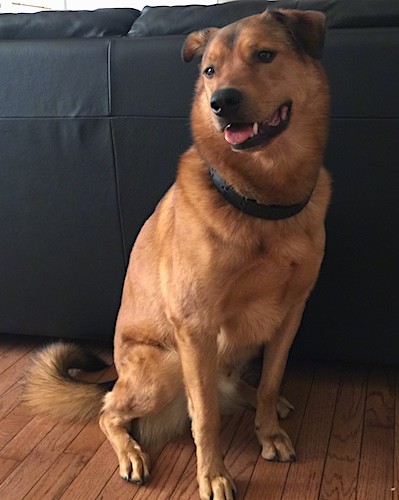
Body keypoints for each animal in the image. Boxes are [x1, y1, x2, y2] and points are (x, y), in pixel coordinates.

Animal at [23, 8, 332, 500]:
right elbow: (204, 416)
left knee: (236, 385)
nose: (221, 102)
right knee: (110, 412)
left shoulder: (290, 315)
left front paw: (269, 430)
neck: (259, 201)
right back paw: (131, 453)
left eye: (265, 56)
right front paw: (213, 475)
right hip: (166, 364)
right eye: (209, 71)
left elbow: (270, 381)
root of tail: (116, 375)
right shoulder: (196, 328)